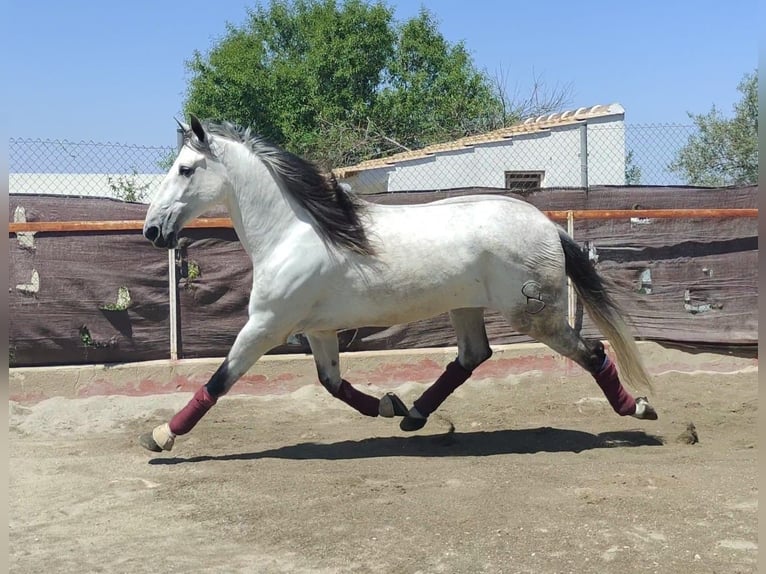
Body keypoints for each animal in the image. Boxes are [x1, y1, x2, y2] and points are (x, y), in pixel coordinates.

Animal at [136, 116, 656, 454]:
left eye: (185, 169)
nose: (152, 230)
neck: (294, 232)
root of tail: (549, 228)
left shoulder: (266, 325)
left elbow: (220, 379)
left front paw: (161, 435)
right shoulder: (317, 330)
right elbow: (332, 383)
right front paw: (388, 404)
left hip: (536, 316)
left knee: (592, 352)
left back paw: (639, 408)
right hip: (466, 307)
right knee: (472, 356)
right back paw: (413, 415)